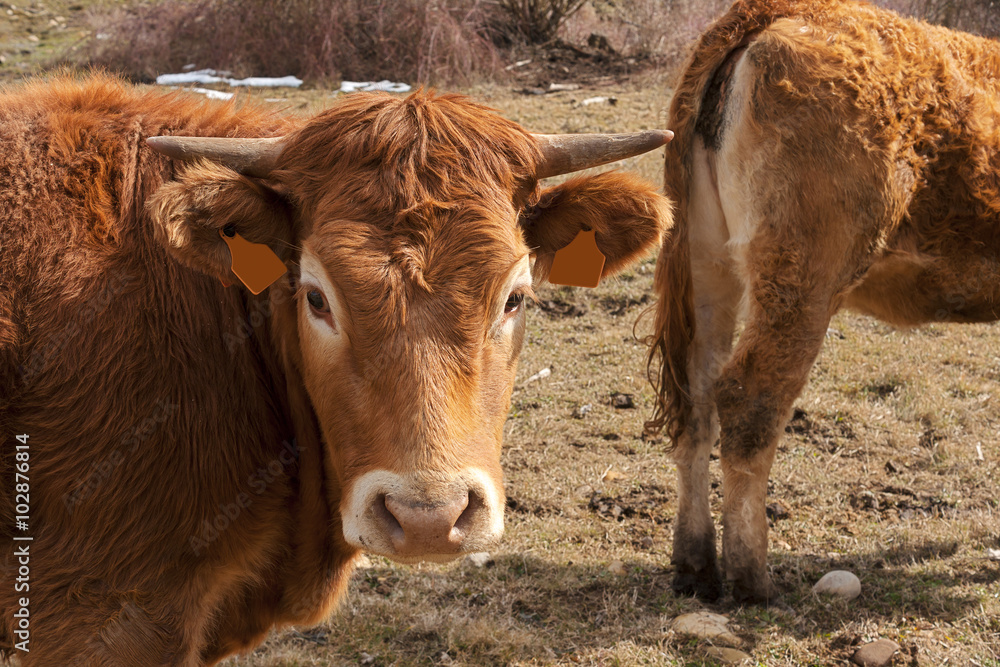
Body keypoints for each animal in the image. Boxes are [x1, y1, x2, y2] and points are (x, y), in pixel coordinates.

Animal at [646, 0, 1000, 604]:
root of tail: (781, 12)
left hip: (706, 263)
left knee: (696, 400)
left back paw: (695, 567)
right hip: (803, 274)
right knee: (749, 398)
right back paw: (752, 578)